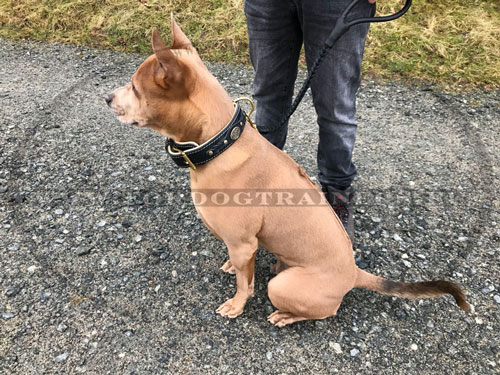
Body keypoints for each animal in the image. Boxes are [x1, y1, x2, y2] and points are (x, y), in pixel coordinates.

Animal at [105, 19, 468, 328]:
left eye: (135, 88)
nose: (106, 98)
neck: (220, 145)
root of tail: (354, 274)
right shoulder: (241, 247)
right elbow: (241, 268)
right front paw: (231, 268)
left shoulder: (243, 243)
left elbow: (245, 285)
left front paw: (237, 305)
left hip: (282, 287)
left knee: (321, 311)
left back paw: (285, 316)